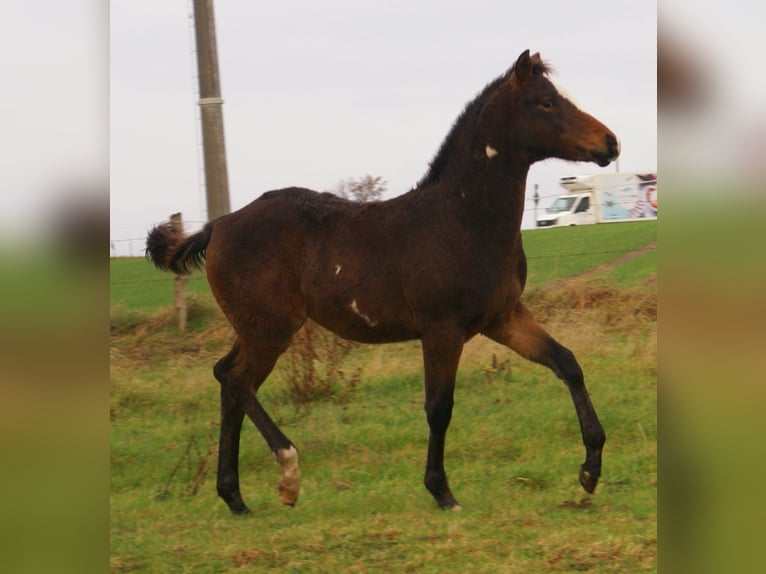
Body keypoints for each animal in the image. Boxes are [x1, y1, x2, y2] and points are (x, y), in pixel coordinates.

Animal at [146, 50, 619, 513]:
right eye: (546, 102)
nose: (610, 143)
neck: (460, 219)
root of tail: (219, 226)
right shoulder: (442, 330)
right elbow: (439, 407)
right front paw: (441, 491)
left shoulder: (502, 318)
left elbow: (566, 363)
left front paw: (590, 470)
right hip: (270, 329)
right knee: (235, 381)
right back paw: (288, 476)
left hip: (255, 330)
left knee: (227, 381)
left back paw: (235, 497)